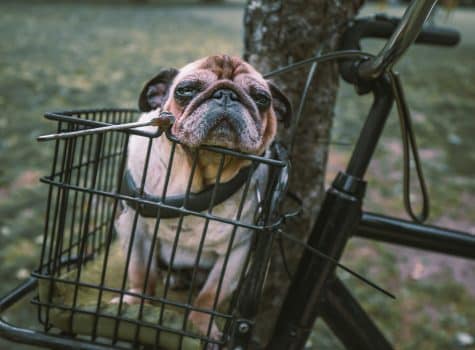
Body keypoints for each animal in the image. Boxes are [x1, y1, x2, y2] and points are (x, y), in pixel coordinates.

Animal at [113, 54, 292, 344]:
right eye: (185, 90)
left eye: (261, 98)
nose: (226, 94)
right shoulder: (133, 229)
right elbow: (140, 273)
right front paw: (133, 304)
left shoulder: (236, 253)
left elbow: (210, 296)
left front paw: (201, 327)